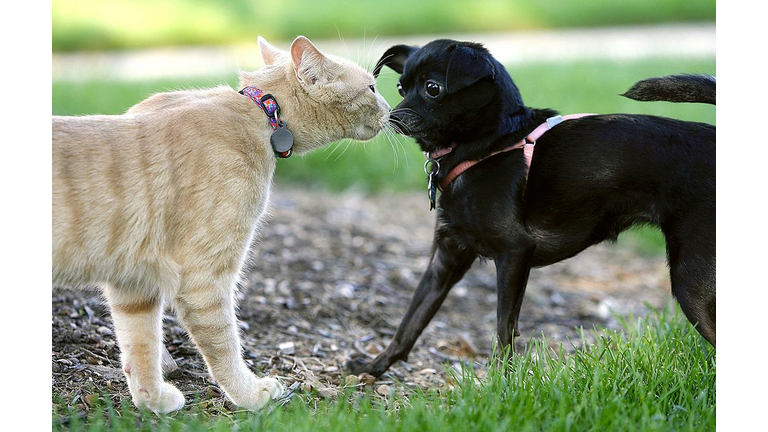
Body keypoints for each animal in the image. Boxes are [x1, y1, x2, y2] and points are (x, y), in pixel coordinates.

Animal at [52, 35, 390, 414]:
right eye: (372, 87)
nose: (391, 108)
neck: (262, 113)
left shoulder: (134, 281)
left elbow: (141, 346)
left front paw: (152, 400)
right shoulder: (204, 276)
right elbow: (224, 344)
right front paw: (250, 394)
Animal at [348, 41, 712, 378]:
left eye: (432, 88)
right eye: (400, 88)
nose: (392, 117)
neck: (487, 146)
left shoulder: (514, 254)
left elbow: (503, 327)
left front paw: (499, 382)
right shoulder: (445, 259)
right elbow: (411, 321)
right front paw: (374, 367)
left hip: (691, 283)